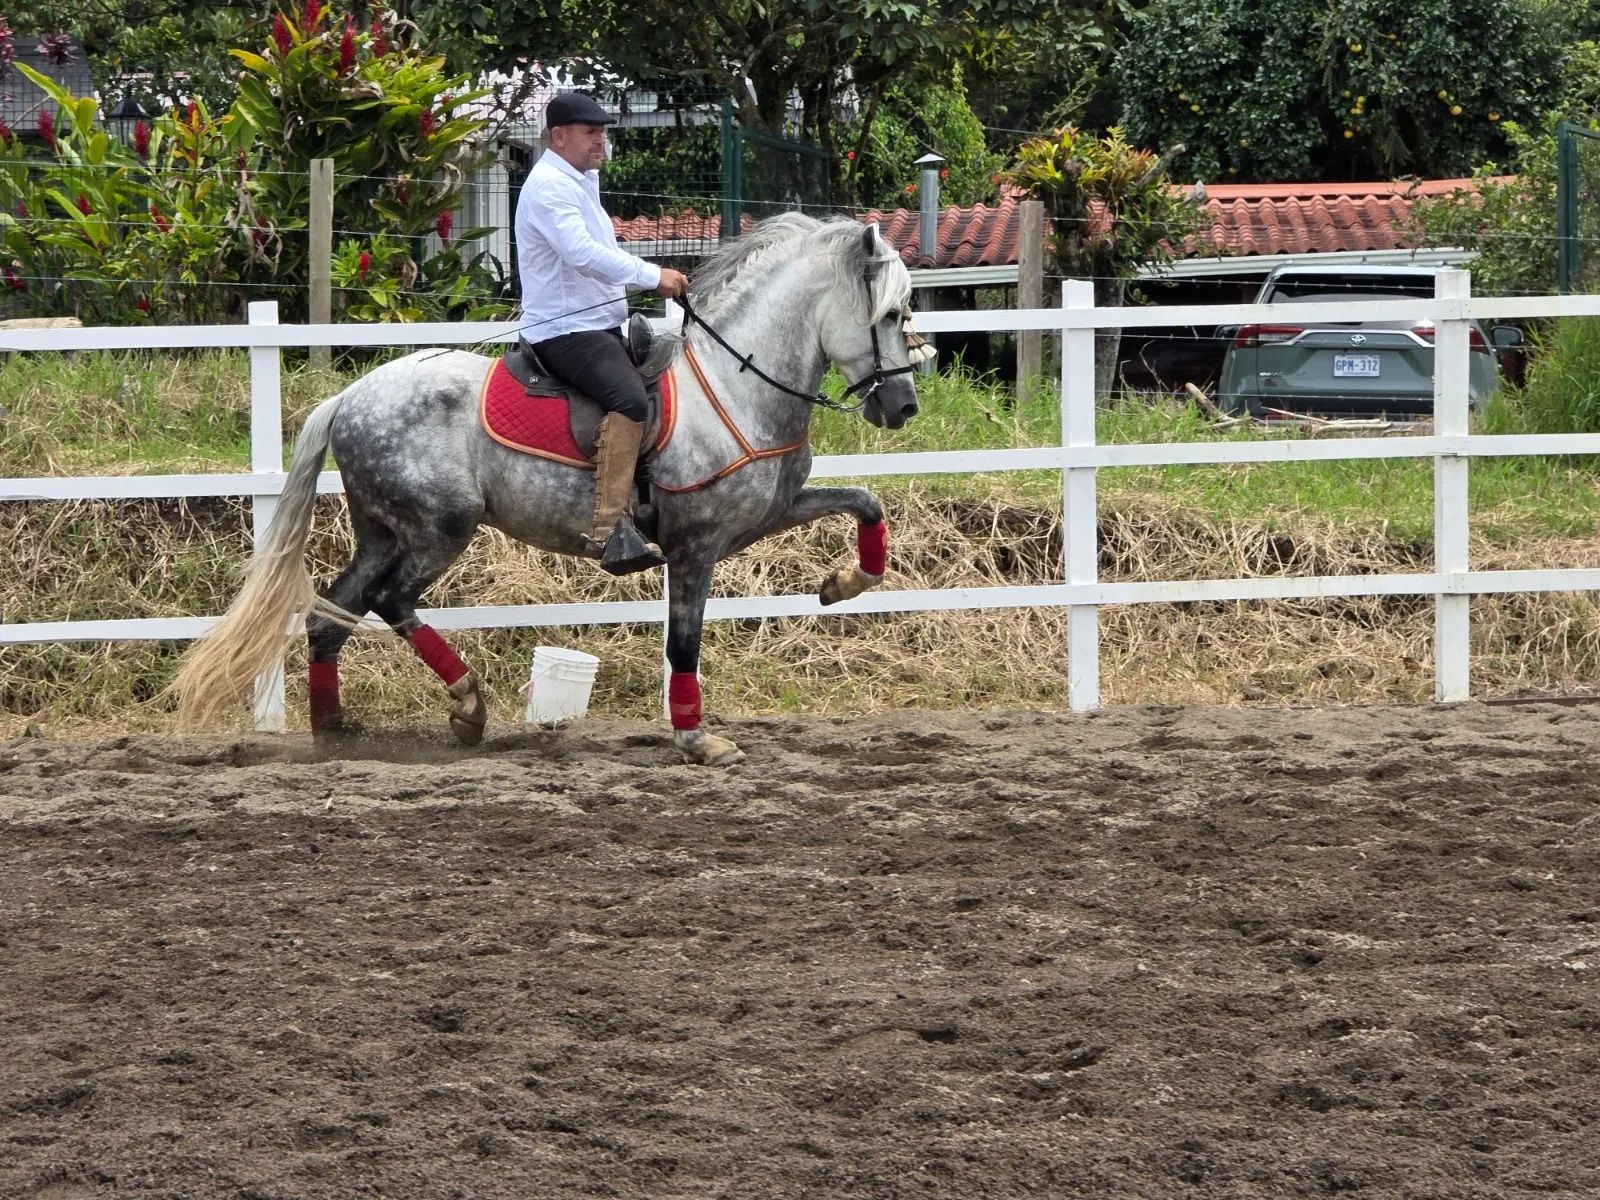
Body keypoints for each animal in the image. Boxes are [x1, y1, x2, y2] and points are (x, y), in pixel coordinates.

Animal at [172, 214, 928, 765]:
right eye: (891, 315)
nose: (903, 407)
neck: (735, 384)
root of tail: (349, 397)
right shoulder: (695, 546)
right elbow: (684, 643)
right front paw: (696, 738)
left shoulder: (765, 514)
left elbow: (866, 504)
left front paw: (843, 584)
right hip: (439, 530)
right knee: (390, 602)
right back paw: (468, 706)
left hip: (382, 533)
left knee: (332, 614)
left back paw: (334, 729)